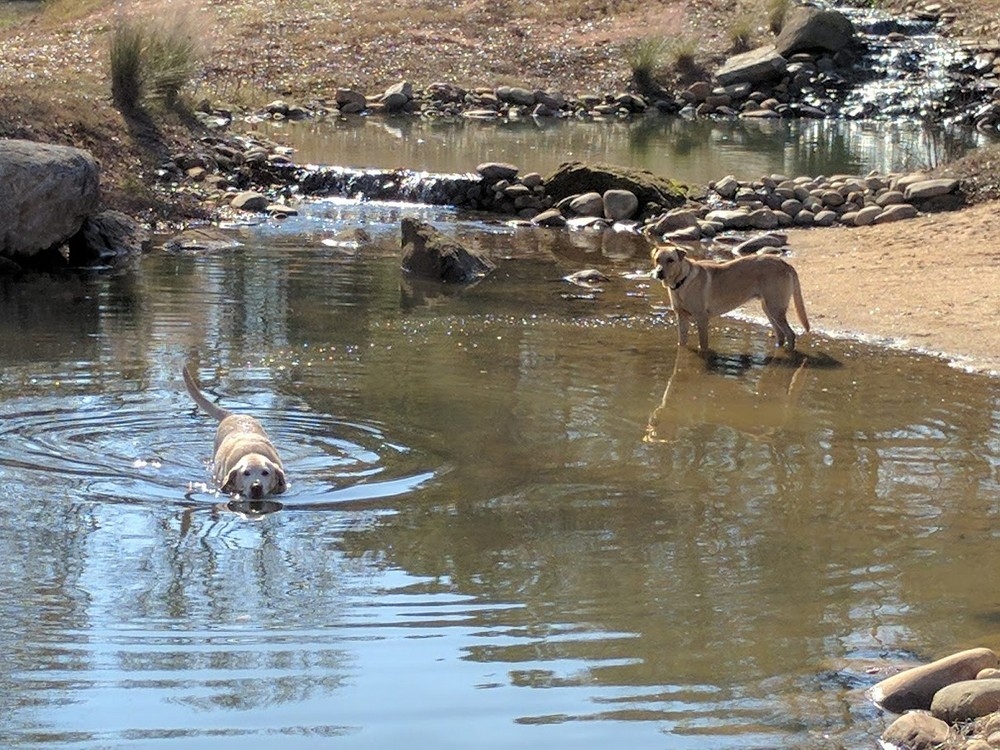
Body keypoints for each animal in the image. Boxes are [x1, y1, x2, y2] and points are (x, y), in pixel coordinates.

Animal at [652, 247, 808, 352]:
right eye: (657, 260)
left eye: (671, 260)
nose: (659, 272)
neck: (681, 281)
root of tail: (785, 263)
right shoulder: (682, 317)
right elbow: (682, 343)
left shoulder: (701, 318)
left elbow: (703, 344)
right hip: (768, 309)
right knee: (781, 334)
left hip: (775, 309)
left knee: (790, 334)